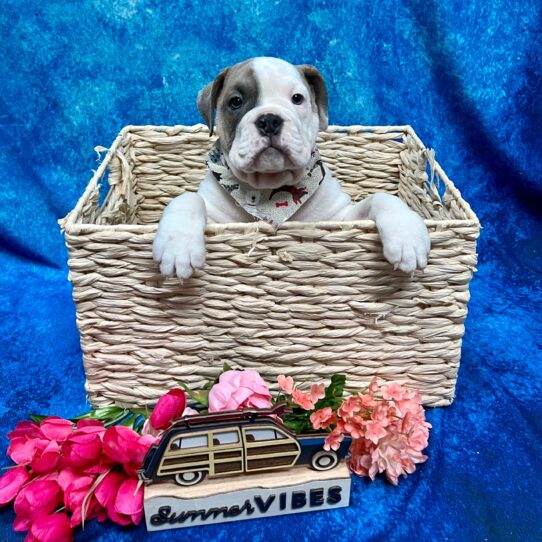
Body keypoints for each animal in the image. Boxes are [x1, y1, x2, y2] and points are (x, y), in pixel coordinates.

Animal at [154, 57, 434, 280]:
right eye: (235, 102)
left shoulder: (341, 218)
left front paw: (406, 235)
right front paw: (178, 245)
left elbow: (381, 198)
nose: (269, 119)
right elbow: (187, 199)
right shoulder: (216, 218)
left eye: (297, 99)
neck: (267, 187)